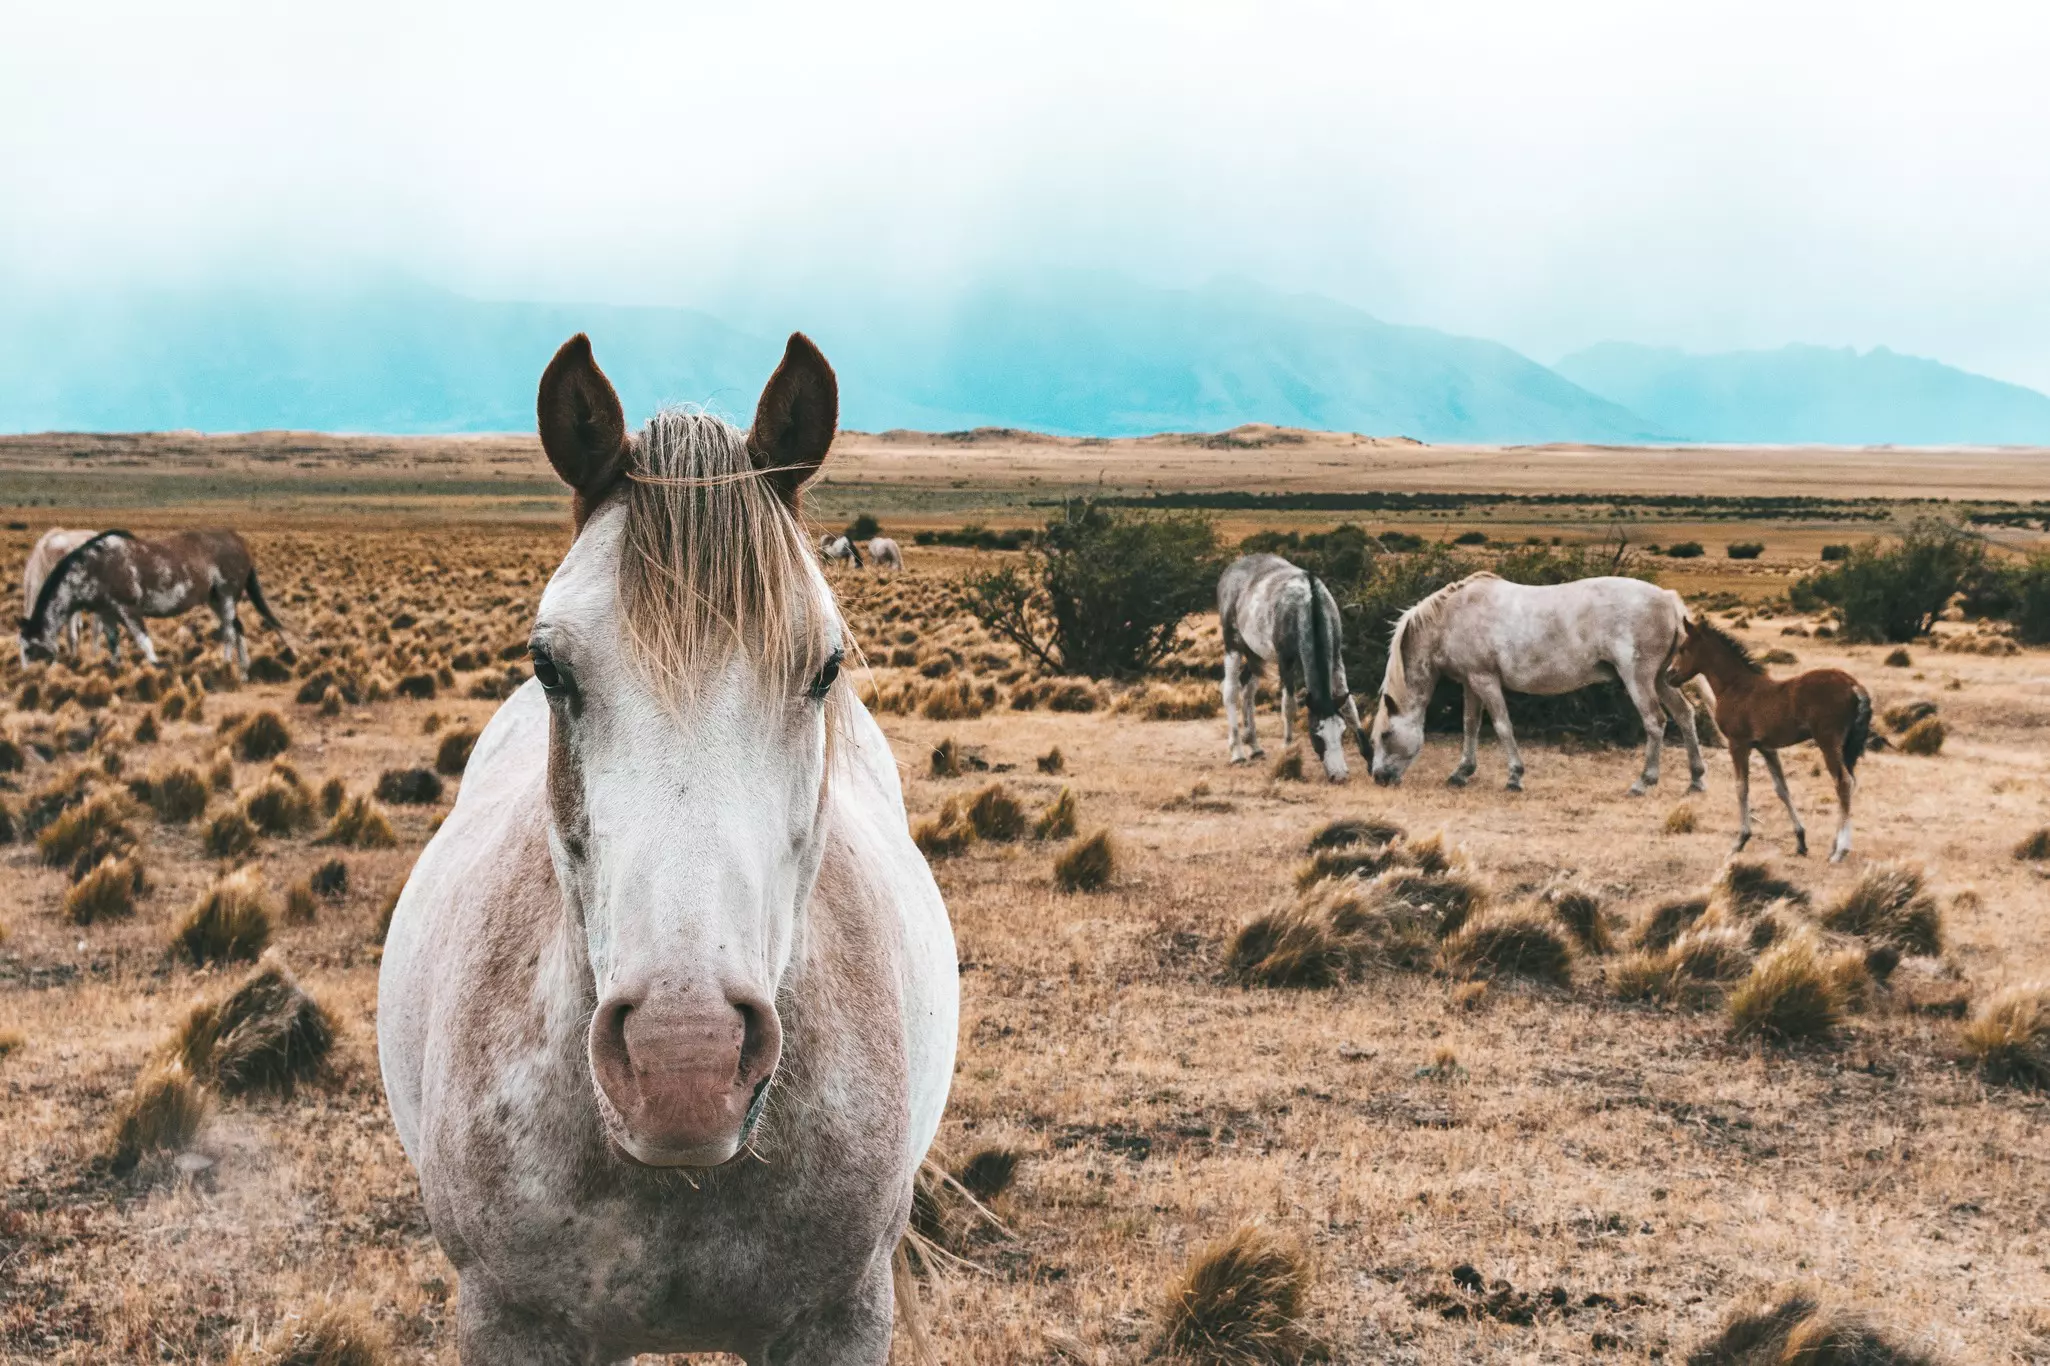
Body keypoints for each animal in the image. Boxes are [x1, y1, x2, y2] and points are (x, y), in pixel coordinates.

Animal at [1218, 553, 1366, 781]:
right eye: (1317, 734)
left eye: (1342, 732)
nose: (1339, 775)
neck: (1308, 604)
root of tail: (1230, 570)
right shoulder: (1285, 661)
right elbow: (1289, 706)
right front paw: (1287, 751)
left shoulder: (1336, 656)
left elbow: (1349, 705)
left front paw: (1370, 755)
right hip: (1233, 646)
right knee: (1230, 691)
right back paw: (1238, 752)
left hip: (1256, 655)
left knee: (1248, 691)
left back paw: (1255, 746)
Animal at [1368, 572, 1706, 795]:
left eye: (1384, 735)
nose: (1379, 777)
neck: (1452, 616)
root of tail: (1669, 599)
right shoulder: (1470, 683)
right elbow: (1470, 725)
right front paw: (1461, 773)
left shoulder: (1485, 680)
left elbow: (1502, 726)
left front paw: (1515, 777)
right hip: (1662, 679)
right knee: (1684, 714)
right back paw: (1696, 779)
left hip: (1639, 678)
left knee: (1655, 721)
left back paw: (1643, 782)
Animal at [1666, 616, 1870, 861]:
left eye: (1682, 649)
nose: (1669, 675)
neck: (1735, 686)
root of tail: (1853, 685)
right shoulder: (1766, 748)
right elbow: (1782, 788)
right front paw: (1800, 841)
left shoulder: (1738, 743)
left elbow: (1741, 787)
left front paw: (1740, 840)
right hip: (1846, 746)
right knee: (1851, 782)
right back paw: (1834, 845)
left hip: (1828, 742)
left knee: (1843, 782)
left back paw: (1840, 851)